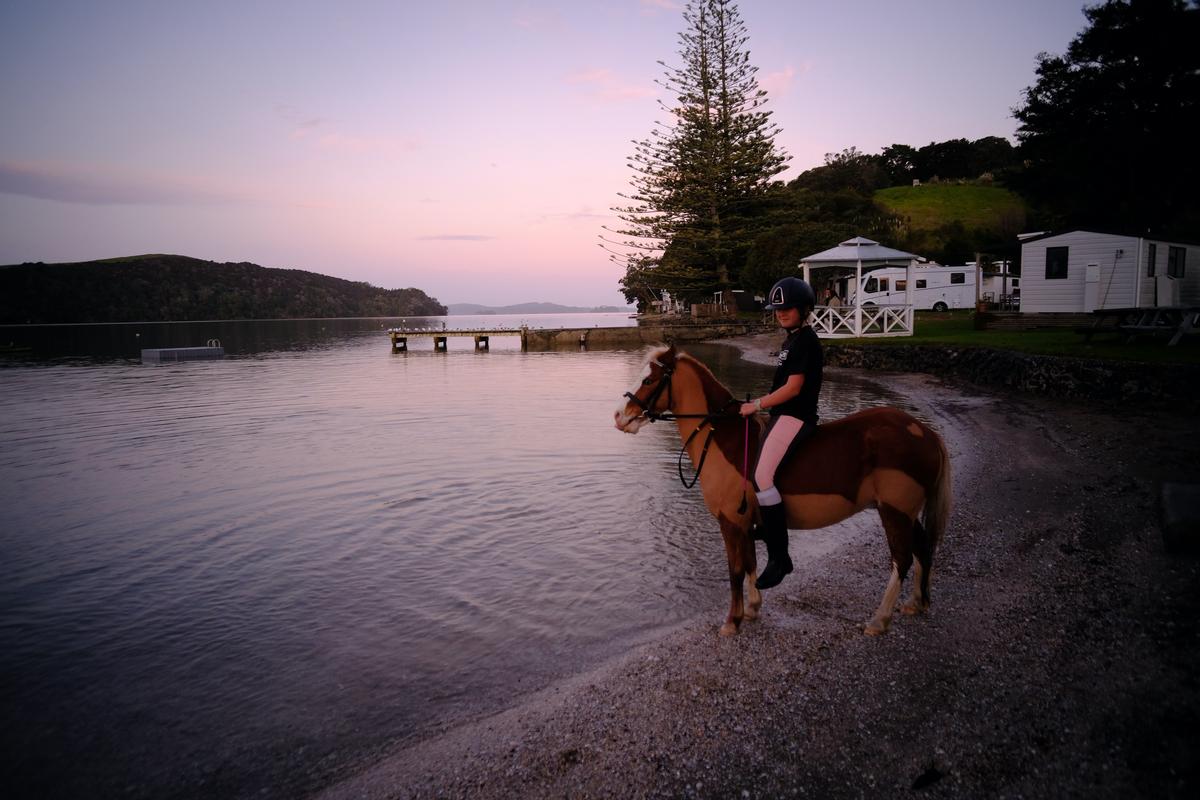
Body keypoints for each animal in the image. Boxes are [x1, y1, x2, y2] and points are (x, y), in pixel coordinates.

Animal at [614, 345, 950, 638]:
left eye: (648, 380)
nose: (619, 416)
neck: (726, 438)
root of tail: (924, 431)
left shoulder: (731, 522)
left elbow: (735, 569)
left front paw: (732, 621)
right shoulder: (745, 522)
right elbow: (750, 562)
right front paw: (752, 609)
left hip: (894, 512)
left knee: (902, 559)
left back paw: (880, 619)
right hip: (905, 513)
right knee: (922, 548)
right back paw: (916, 603)